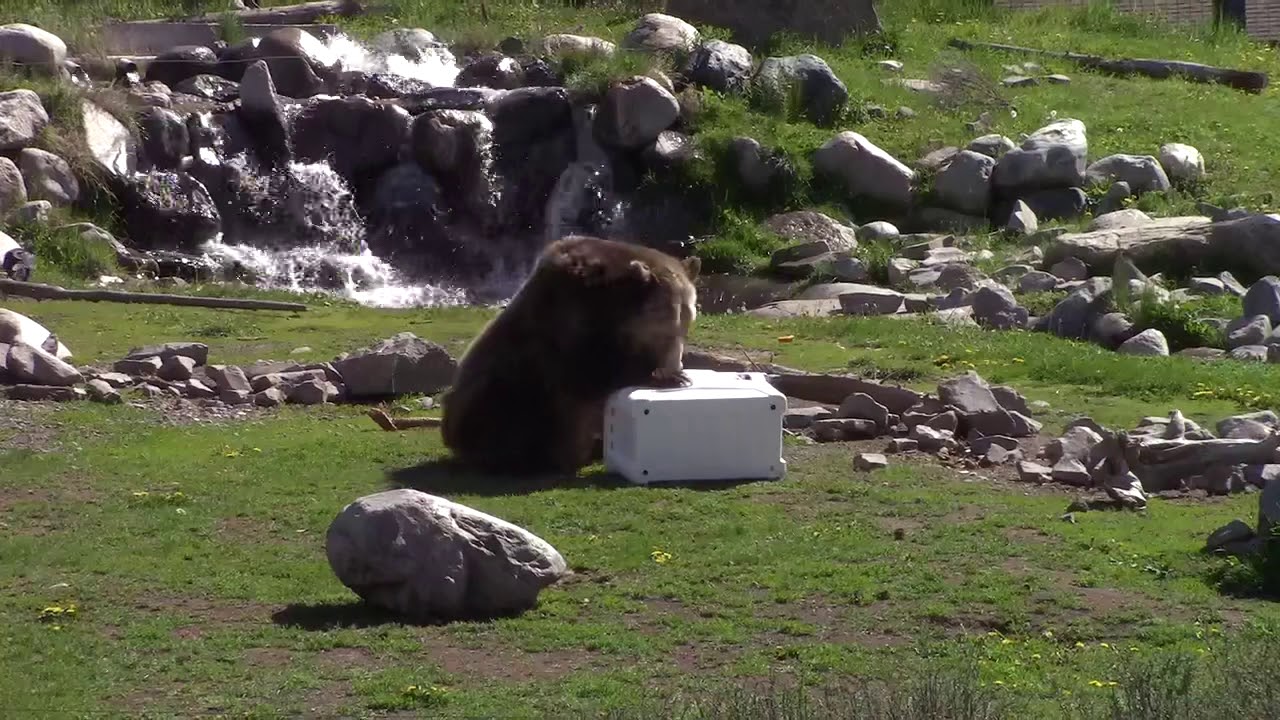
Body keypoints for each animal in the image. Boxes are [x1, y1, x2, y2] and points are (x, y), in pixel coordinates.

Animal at [440, 234, 701, 476]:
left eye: (687, 322)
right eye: (665, 329)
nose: (675, 365)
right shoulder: (568, 324)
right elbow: (589, 374)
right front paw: (666, 377)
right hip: (498, 394)